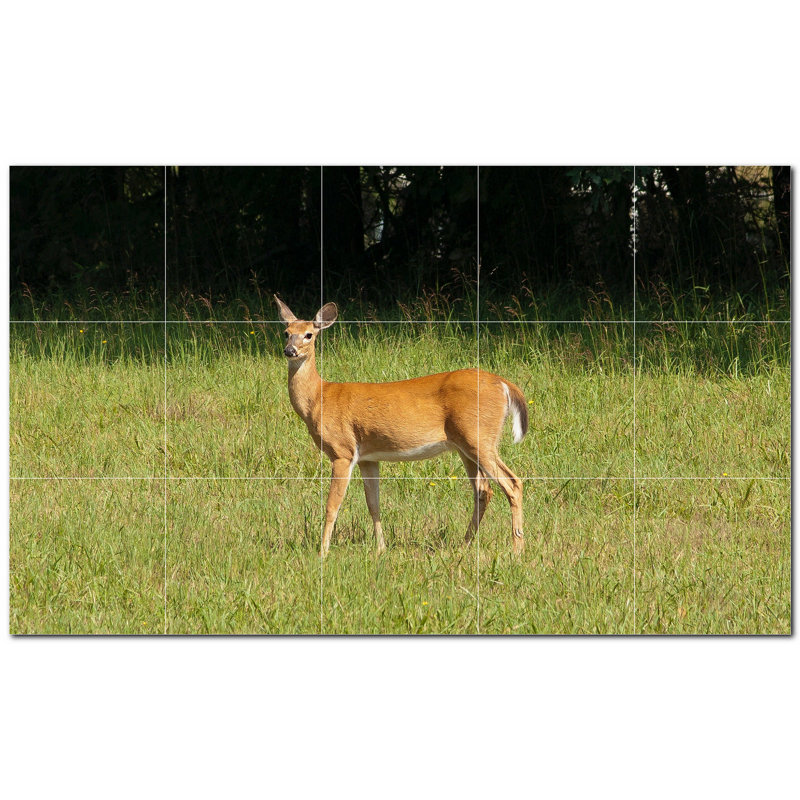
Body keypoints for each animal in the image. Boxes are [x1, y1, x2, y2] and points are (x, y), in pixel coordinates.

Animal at [274, 296, 528, 557]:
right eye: (286, 332)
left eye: (309, 334)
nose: (290, 351)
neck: (319, 398)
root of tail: (504, 384)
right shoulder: (367, 457)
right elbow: (373, 504)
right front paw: (381, 549)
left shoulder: (342, 451)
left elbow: (332, 505)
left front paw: (322, 552)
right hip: (465, 446)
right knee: (483, 490)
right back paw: (465, 544)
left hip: (479, 437)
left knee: (513, 483)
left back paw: (517, 549)